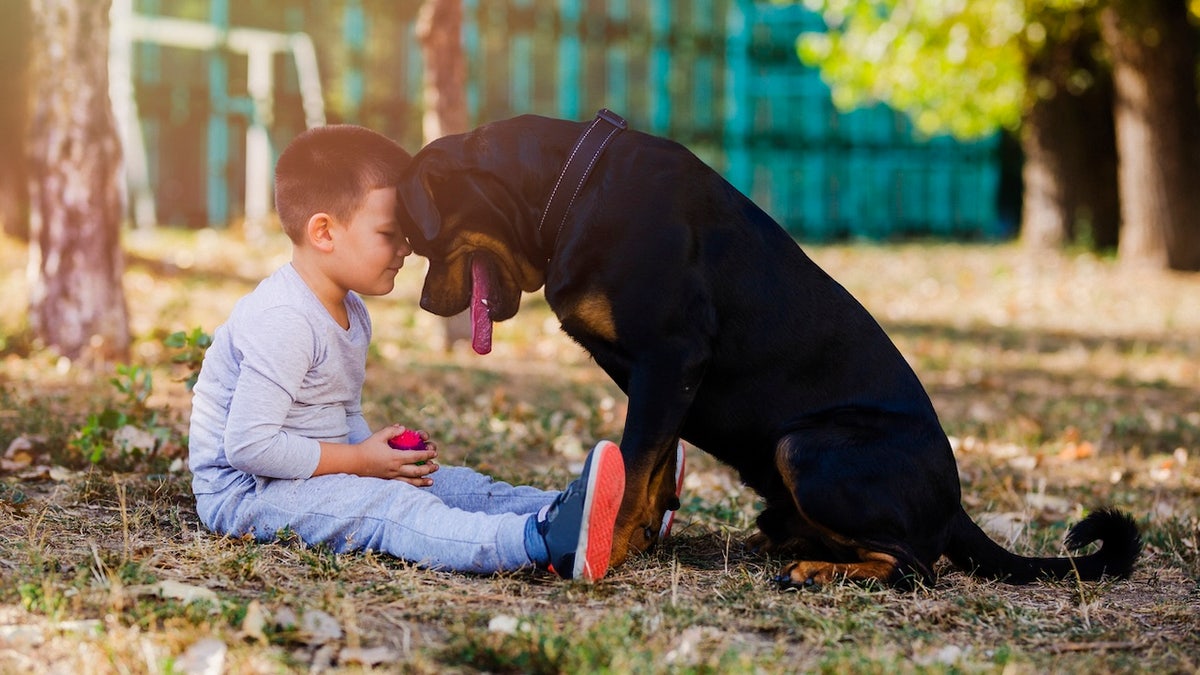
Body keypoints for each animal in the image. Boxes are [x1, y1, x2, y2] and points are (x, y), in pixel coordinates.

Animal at [396, 110, 1142, 583]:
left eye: (420, 239)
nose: (425, 304)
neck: (568, 192)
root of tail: (956, 504)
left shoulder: (670, 357)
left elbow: (636, 462)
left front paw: (607, 545)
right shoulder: (665, 379)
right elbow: (655, 466)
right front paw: (637, 536)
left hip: (805, 447)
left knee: (917, 566)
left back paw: (817, 570)